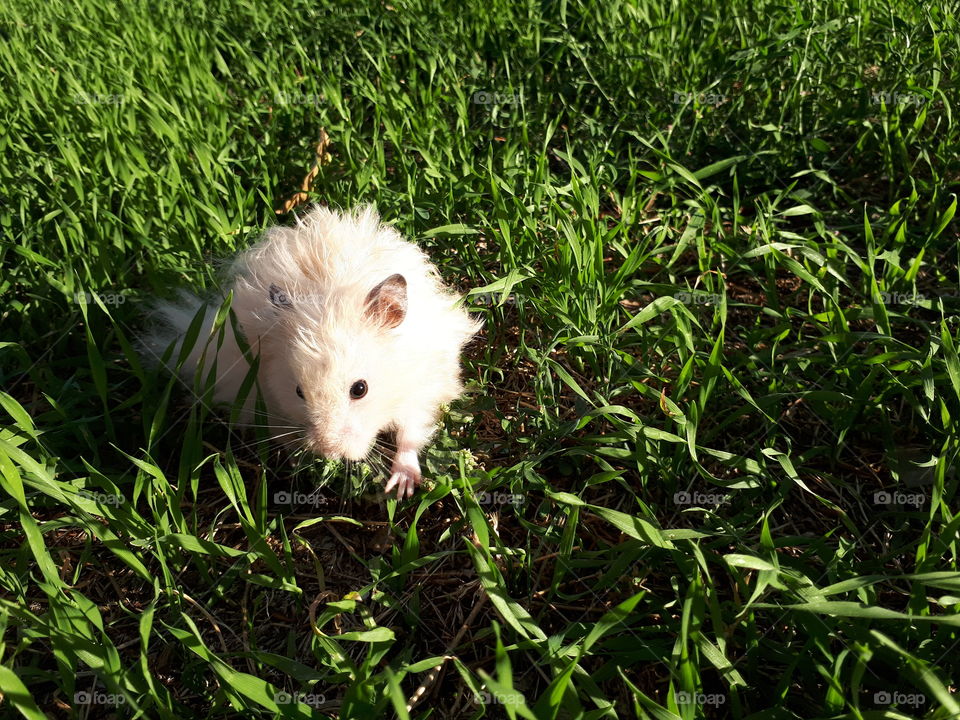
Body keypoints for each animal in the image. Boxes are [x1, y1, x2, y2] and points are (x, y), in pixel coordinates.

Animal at [139, 202, 484, 496]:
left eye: (360, 389)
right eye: (299, 392)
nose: (329, 450)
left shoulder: (424, 386)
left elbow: (410, 434)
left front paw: (401, 487)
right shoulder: (267, 395)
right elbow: (282, 432)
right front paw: (299, 459)